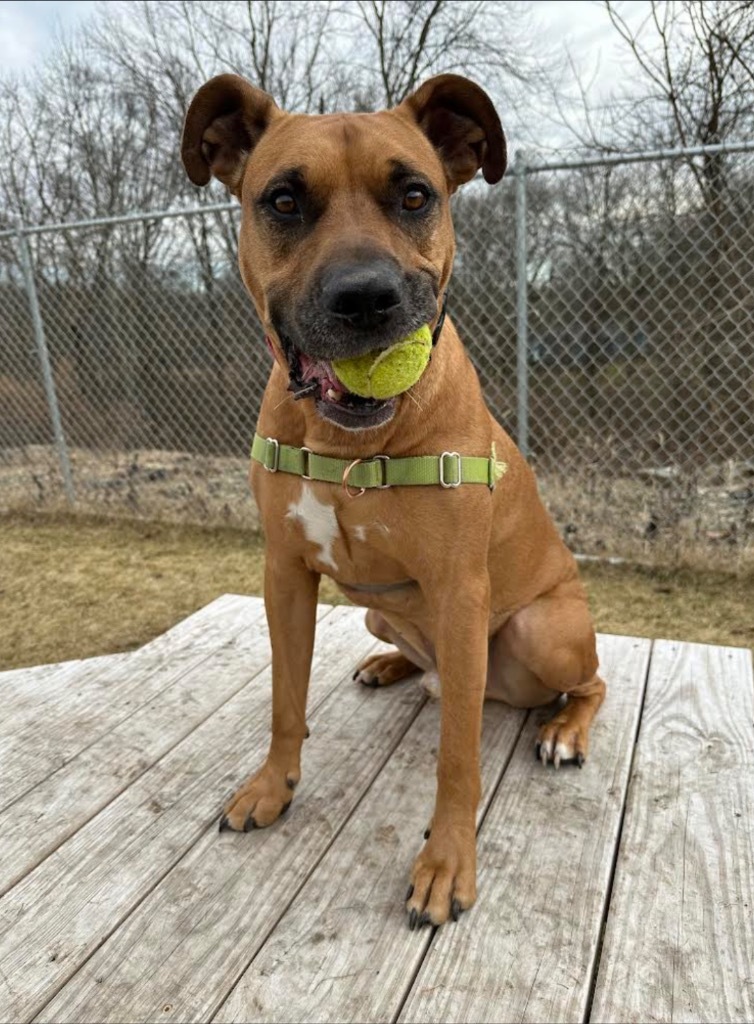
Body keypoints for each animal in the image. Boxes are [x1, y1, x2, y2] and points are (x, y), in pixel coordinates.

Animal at [179, 74, 602, 929]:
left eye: (415, 195)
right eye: (282, 200)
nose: (366, 297)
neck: (348, 447)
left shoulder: (461, 592)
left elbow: (457, 759)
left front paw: (447, 863)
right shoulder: (284, 574)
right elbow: (284, 699)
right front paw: (271, 787)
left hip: (541, 628)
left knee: (590, 681)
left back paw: (565, 729)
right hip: (380, 612)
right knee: (419, 656)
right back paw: (389, 664)